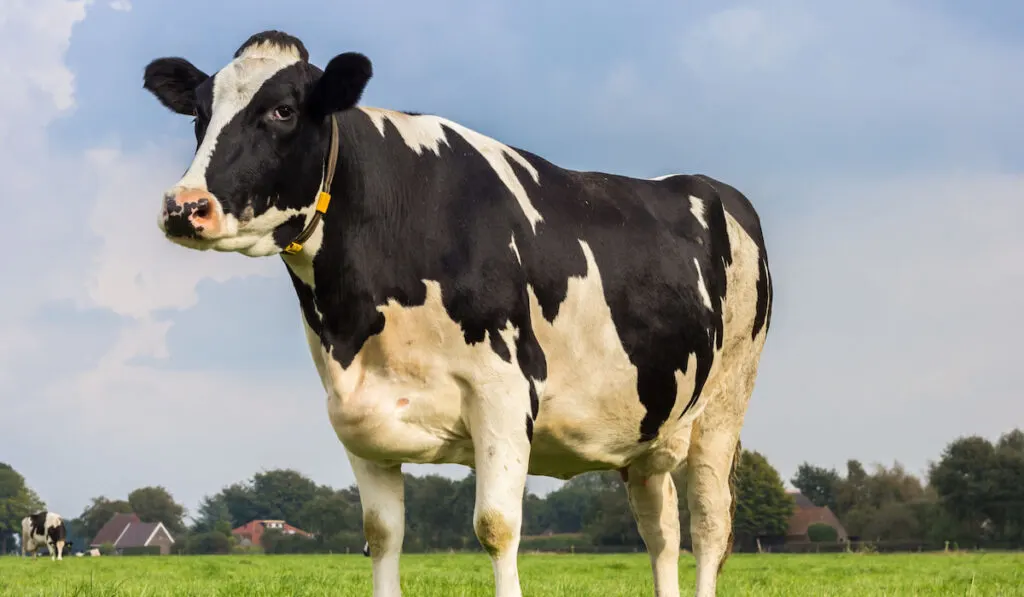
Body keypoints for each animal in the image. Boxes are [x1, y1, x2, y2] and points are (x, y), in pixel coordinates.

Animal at [140, 32, 770, 597]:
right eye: (199, 114)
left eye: (282, 110)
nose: (184, 206)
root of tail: (710, 186)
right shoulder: (355, 415)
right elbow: (381, 535)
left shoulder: (504, 394)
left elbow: (496, 527)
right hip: (646, 429)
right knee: (660, 532)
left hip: (724, 407)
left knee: (709, 527)